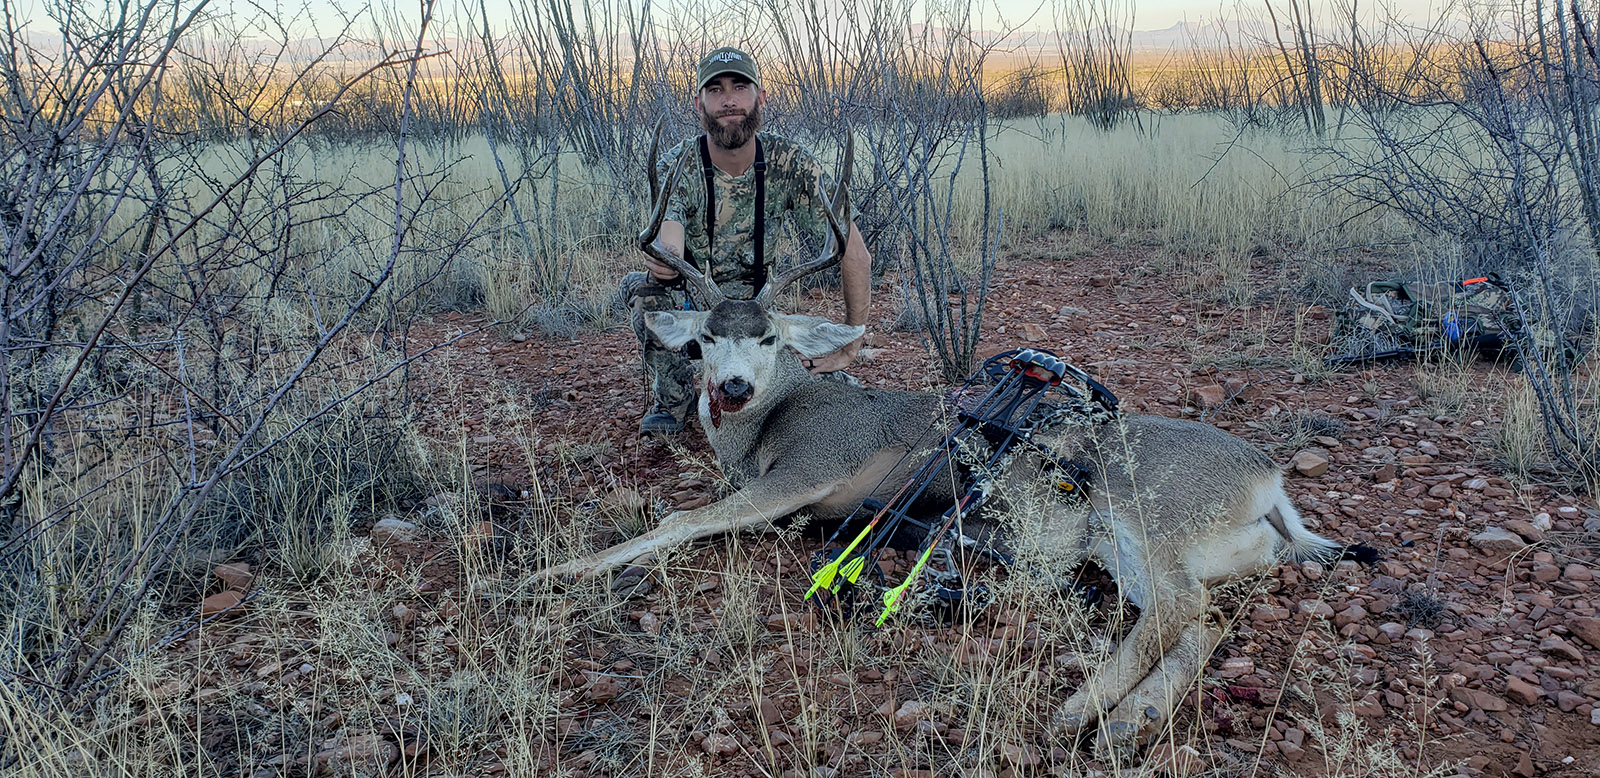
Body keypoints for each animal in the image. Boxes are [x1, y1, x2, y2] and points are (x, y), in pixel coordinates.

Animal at [544, 128, 1356, 758]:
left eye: (770, 336)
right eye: (707, 338)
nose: (735, 388)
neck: (775, 420)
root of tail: (1268, 476)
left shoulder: (806, 472)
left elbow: (681, 519)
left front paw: (560, 570)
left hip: (1144, 514)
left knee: (1181, 608)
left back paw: (1081, 713)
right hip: (1133, 548)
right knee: (1201, 620)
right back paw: (1131, 718)